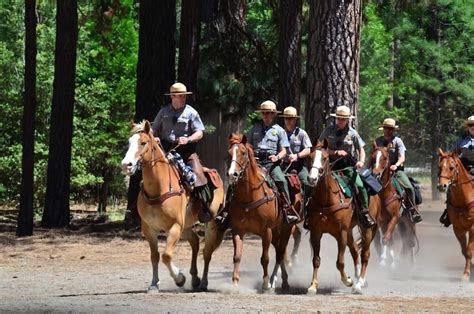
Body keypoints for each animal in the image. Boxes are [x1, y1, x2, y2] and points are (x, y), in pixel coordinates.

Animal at [122, 121, 226, 292]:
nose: (126, 165)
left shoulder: (175, 227)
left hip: (210, 223)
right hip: (186, 226)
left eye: (143, 142)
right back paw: (195, 278)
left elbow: (166, 255)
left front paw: (179, 278)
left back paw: (203, 282)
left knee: (207, 251)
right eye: (129, 142)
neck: (159, 189)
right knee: (195, 242)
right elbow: (155, 256)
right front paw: (154, 284)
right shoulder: (149, 229)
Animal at [225, 133, 300, 292]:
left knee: (280, 252)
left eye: (243, 152)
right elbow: (237, 256)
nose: (232, 174)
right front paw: (235, 283)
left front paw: (265, 283)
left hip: (286, 227)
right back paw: (283, 281)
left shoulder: (266, 231)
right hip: (277, 231)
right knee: (280, 252)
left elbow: (264, 258)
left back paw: (278, 281)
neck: (249, 195)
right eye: (229, 153)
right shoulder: (238, 230)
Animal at [306, 140, 380, 294]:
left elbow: (340, 262)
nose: (312, 178)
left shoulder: (341, 233)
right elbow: (316, 259)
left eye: (325, 158)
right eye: (310, 157)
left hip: (367, 229)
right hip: (350, 231)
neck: (327, 199)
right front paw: (313, 285)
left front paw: (348, 280)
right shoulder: (316, 232)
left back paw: (359, 284)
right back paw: (358, 277)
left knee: (365, 254)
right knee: (355, 251)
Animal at [436, 148, 474, 280]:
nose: (441, 186)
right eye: (439, 167)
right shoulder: (458, 228)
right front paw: (468, 271)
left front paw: (466, 274)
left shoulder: (472, 227)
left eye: (451, 167)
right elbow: (464, 251)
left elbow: (469, 250)